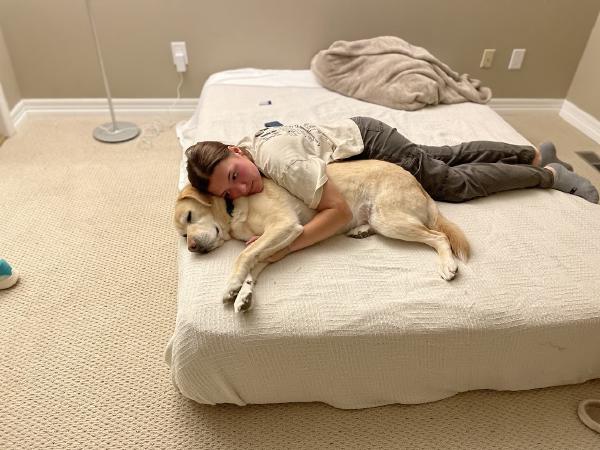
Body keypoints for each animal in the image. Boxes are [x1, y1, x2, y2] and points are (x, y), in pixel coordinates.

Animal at [174, 160, 470, 312]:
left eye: (189, 217)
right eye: (183, 235)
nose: (191, 248)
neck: (233, 206)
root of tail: (417, 183)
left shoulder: (283, 226)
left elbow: (243, 256)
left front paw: (232, 286)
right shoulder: (272, 243)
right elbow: (253, 265)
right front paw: (244, 293)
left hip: (390, 219)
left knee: (438, 237)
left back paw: (448, 265)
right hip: (382, 218)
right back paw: (360, 229)